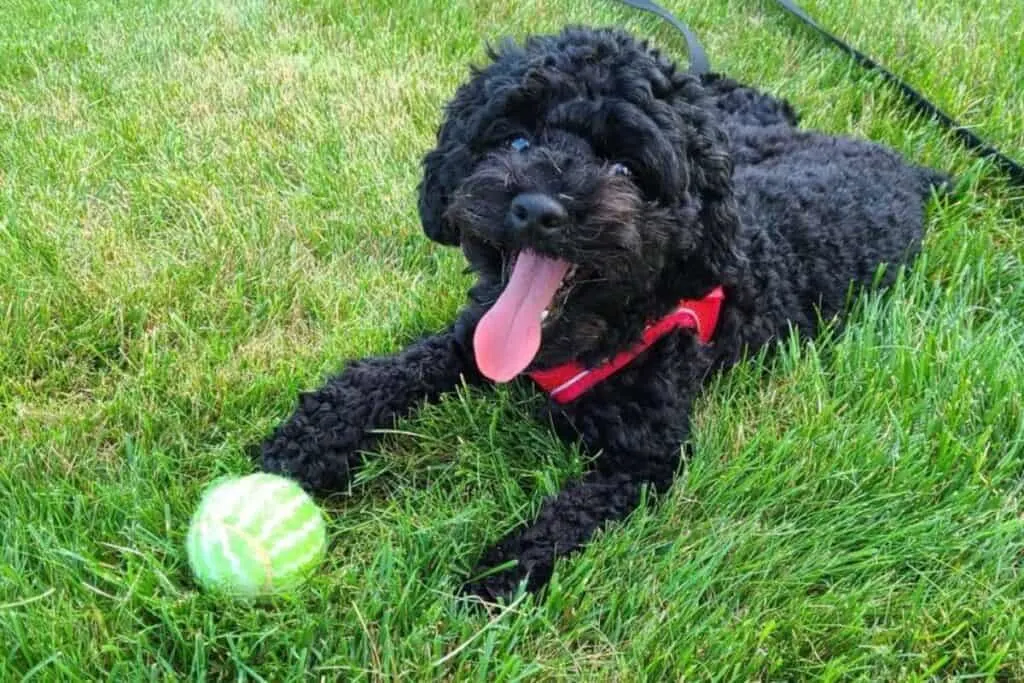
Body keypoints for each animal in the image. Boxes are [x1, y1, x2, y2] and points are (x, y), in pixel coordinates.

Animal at [253, 26, 942, 602]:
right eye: (515, 138)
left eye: (626, 167)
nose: (537, 209)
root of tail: (909, 167)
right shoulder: (470, 339)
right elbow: (386, 374)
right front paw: (307, 442)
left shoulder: (648, 457)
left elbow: (569, 515)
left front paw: (498, 577)